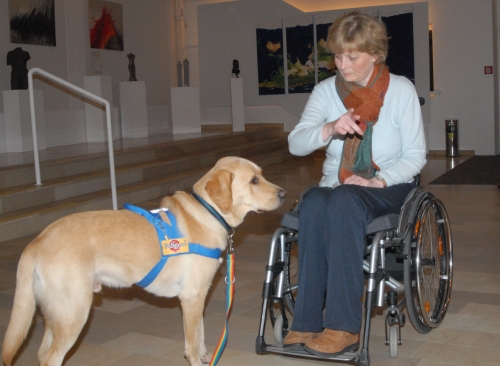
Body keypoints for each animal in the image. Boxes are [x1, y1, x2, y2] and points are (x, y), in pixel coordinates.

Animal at [0, 157, 286, 366]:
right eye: (254, 180)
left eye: (261, 174)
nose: (284, 193)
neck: (209, 213)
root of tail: (38, 240)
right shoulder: (191, 296)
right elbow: (192, 345)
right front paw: (198, 359)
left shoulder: (198, 295)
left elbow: (201, 334)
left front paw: (207, 354)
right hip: (74, 312)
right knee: (51, 358)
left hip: (56, 314)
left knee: (41, 353)